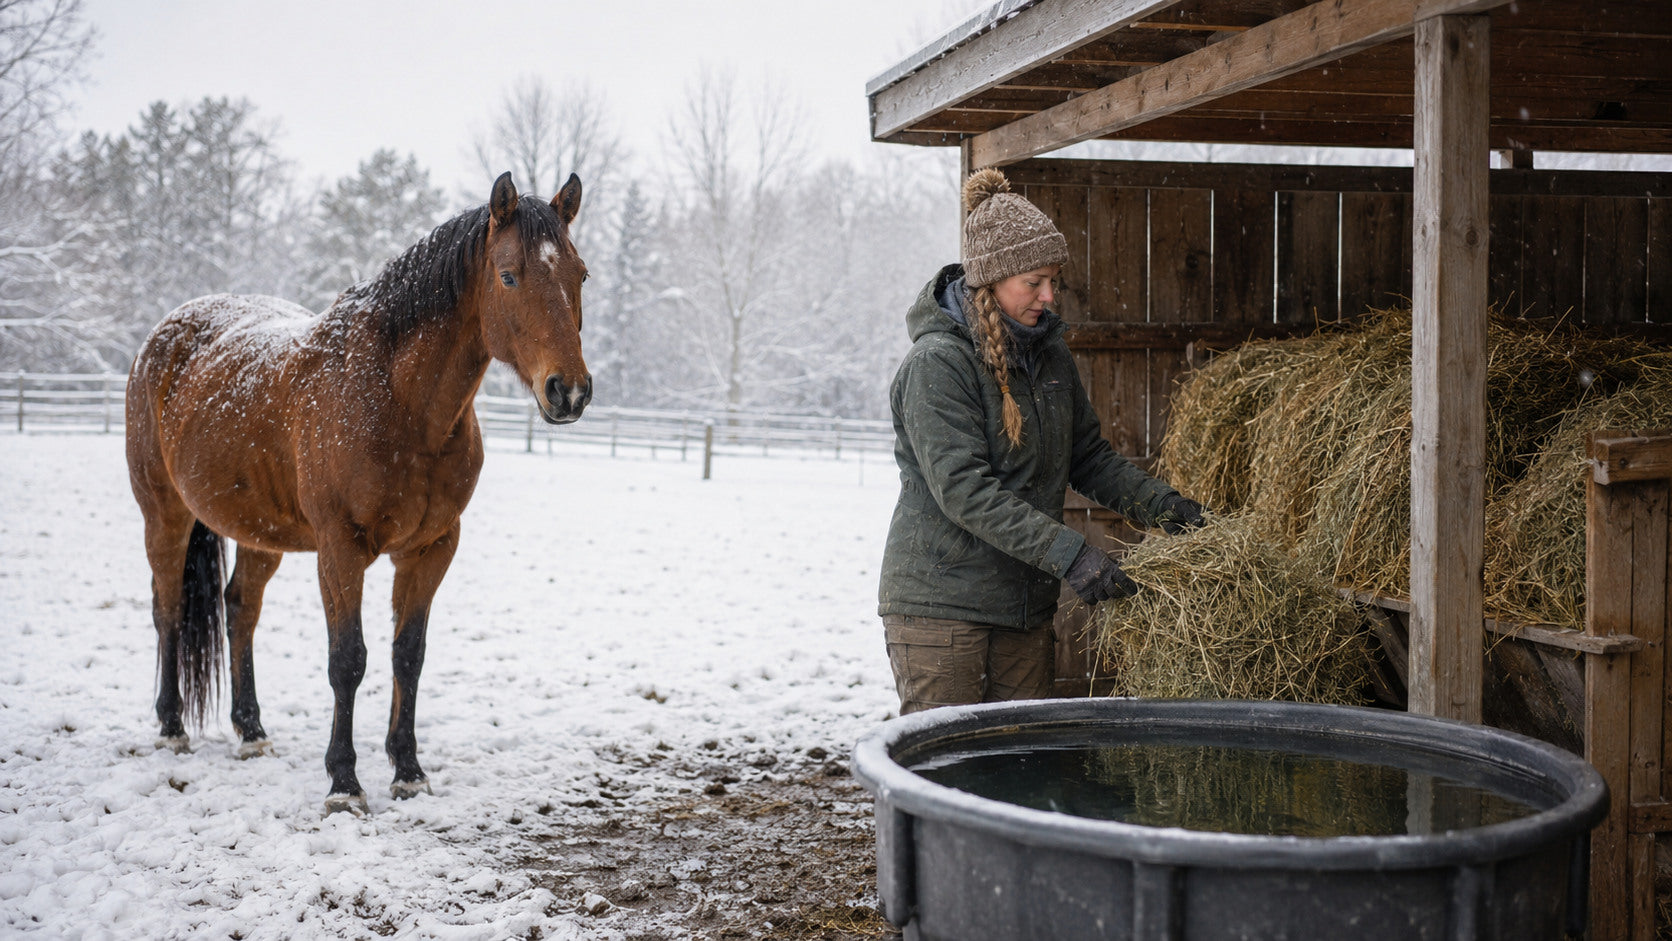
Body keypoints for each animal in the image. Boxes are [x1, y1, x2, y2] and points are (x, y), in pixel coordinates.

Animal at [125, 171, 590, 814]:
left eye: (580, 275)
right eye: (508, 275)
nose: (569, 391)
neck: (397, 399)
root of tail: (163, 335)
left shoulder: (431, 548)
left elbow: (407, 654)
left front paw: (408, 770)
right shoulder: (340, 549)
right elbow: (348, 660)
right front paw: (344, 783)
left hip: (261, 533)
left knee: (240, 609)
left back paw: (251, 731)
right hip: (163, 515)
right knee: (168, 608)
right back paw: (171, 727)